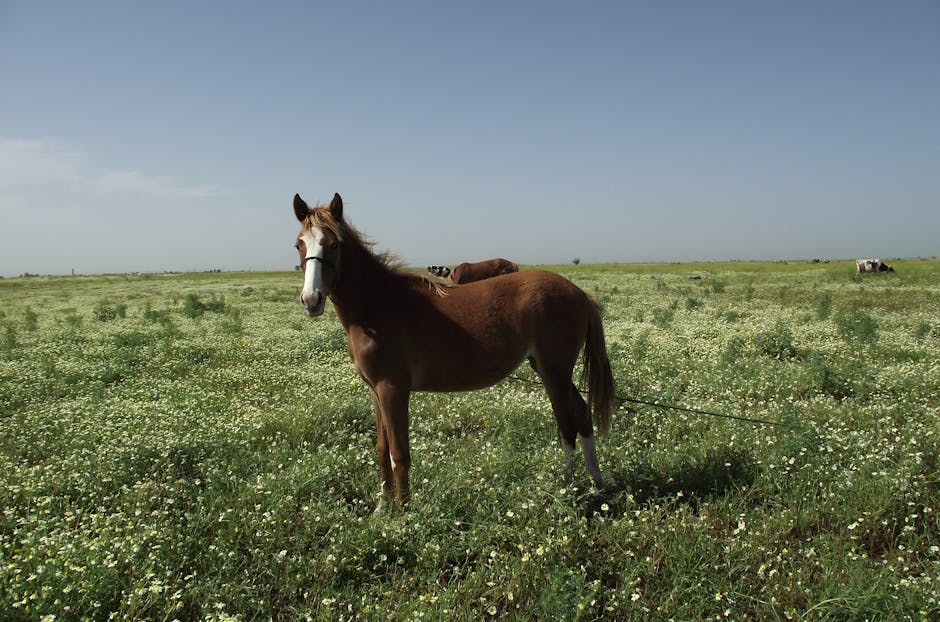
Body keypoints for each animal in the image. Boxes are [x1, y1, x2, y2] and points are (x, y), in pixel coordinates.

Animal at [294, 194, 616, 512]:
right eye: (299, 244)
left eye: (335, 244)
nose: (312, 300)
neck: (377, 305)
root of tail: (579, 292)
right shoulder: (375, 391)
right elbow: (382, 449)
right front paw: (382, 508)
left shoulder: (393, 390)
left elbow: (400, 454)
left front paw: (403, 514)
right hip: (546, 368)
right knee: (581, 414)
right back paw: (596, 483)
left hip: (554, 372)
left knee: (567, 428)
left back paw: (564, 490)